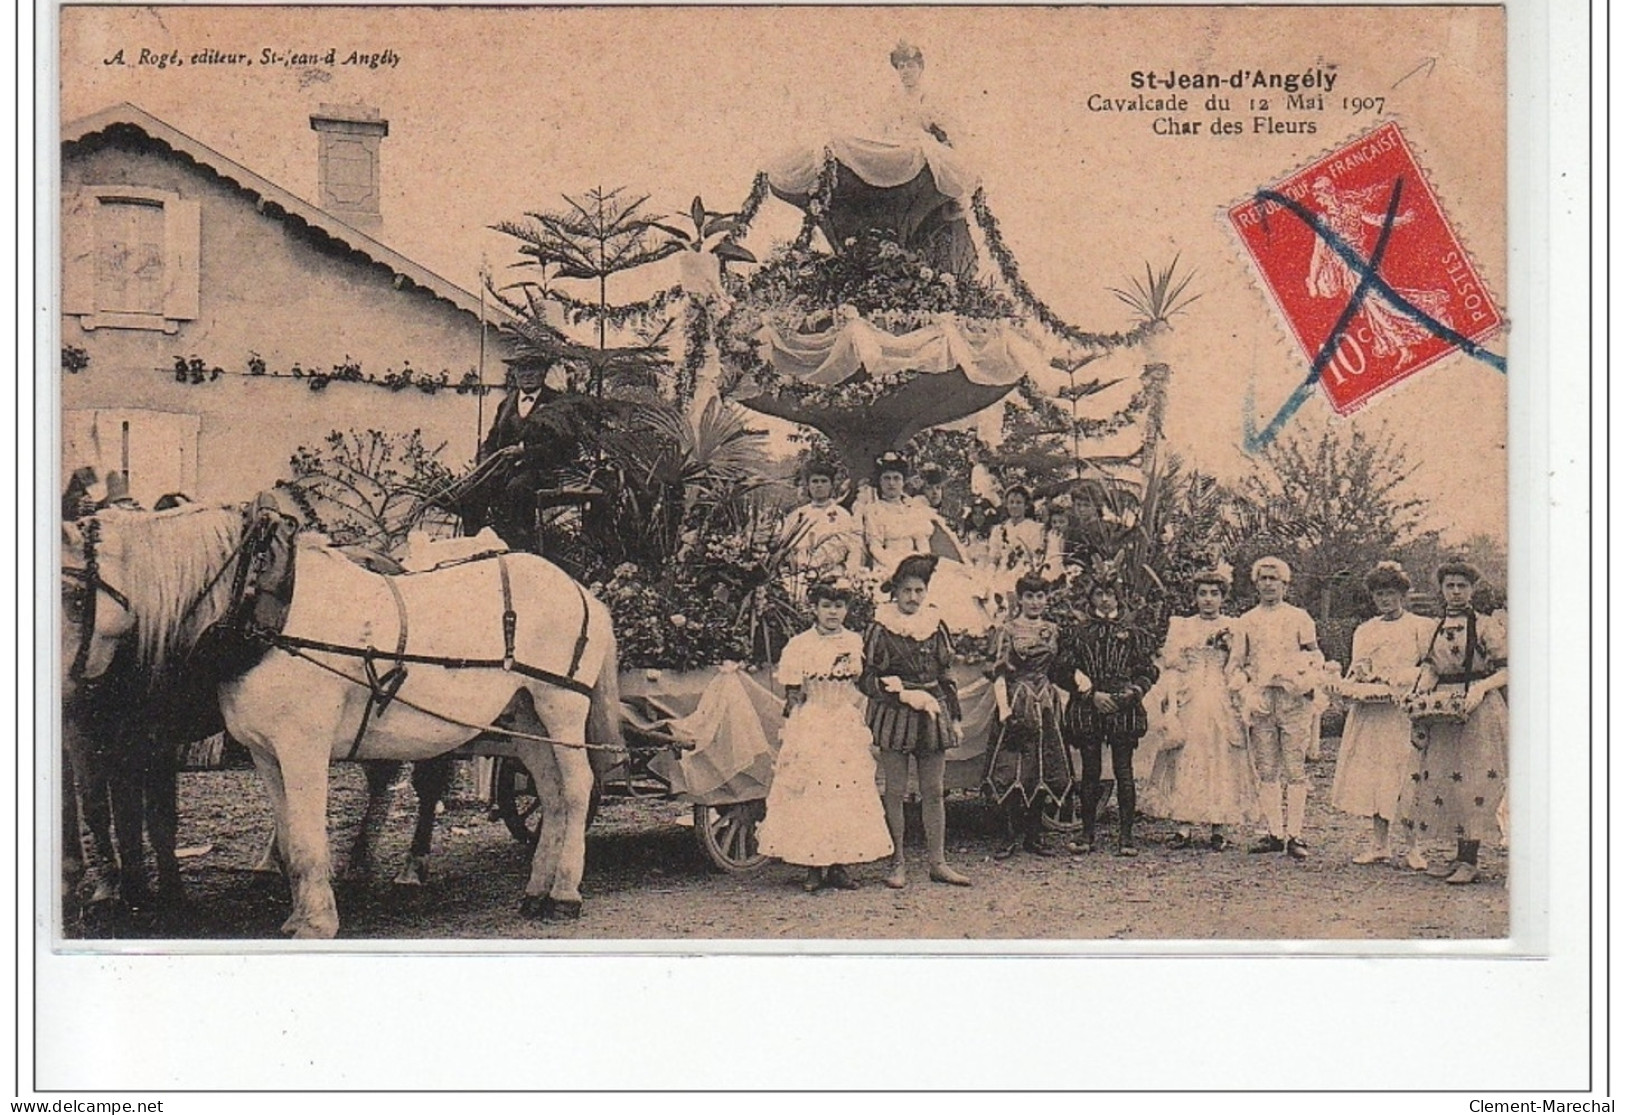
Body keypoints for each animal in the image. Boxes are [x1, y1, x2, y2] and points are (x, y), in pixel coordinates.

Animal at [66, 510, 620, 936]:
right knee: (550, 792)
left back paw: (564, 894)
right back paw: (536, 890)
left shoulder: (302, 749)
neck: (266, 612)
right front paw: (297, 915)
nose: (71, 689)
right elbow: (290, 836)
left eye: (73, 597)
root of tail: (581, 589)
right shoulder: (266, 755)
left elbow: (309, 838)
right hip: (524, 713)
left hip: (560, 704)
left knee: (576, 788)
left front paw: (316, 923)